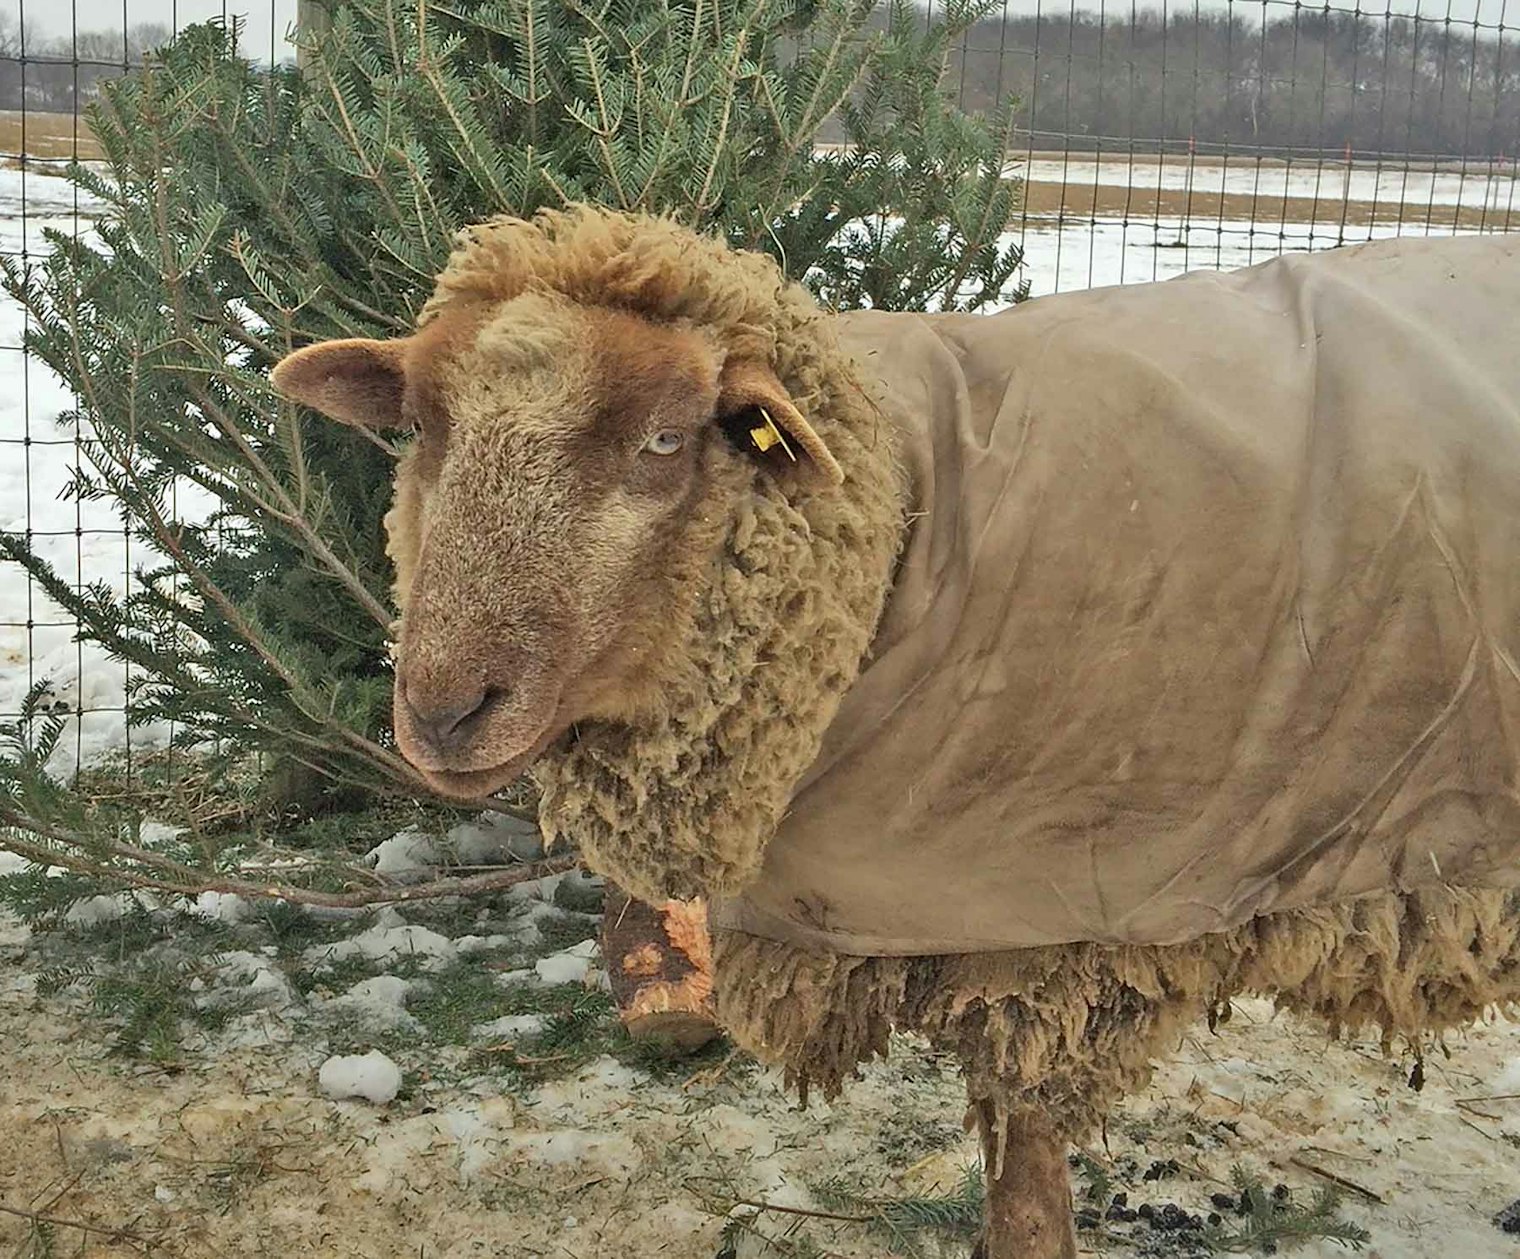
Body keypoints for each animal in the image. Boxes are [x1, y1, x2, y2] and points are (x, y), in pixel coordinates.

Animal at [271, 206, 1520, 1258]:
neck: (896, 522)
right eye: (419, 426)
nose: (441, 707)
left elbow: (1025, 1198)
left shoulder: (1041, 925)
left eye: (667, 441)